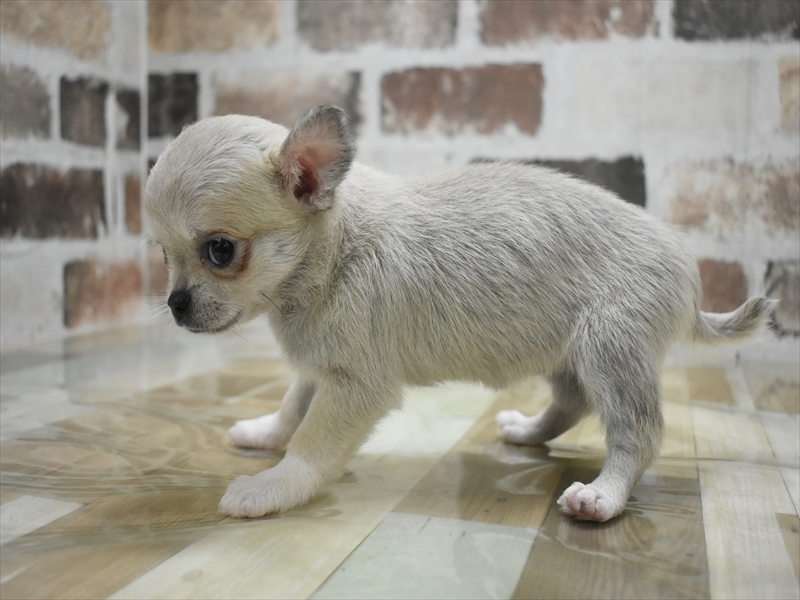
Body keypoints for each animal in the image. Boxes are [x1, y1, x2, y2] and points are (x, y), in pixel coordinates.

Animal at [145, 105, 775, 522]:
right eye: (162, 255)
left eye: (220, 251)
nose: (174, 304)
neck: (334, 250)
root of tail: (689, 275)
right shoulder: (320, 367)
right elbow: (293, 406)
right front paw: (266, 434)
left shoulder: (355, 386)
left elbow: (314, 443)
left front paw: (273, 486)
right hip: (568, 353)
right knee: (571, 404)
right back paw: (527, 431)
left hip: (610, 350)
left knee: (636, 435)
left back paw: (603, 495)